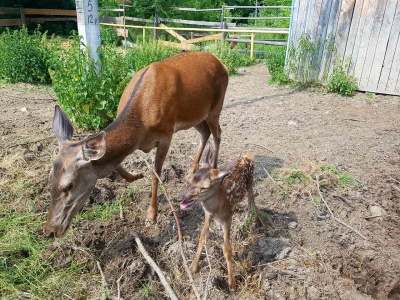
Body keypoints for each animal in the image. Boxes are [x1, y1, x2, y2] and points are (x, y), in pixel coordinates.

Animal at [43, 52, 228, 238]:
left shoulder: (166, 134)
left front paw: (151, 215)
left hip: (216, 105)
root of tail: (221, 63)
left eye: (68, 185)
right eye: (49, 178)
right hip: (197, 114)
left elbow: (155, 174)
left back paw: (213, 169)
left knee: (217, 133)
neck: (141, 126)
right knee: (205, 132)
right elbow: (116, 166)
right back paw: (192, 171)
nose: (49, 230)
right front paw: (136, 176)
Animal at [177, 144, 262, 292]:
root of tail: (248, 156)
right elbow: (202, 236)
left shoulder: (228, 217)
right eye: (190, 180)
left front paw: (232, 283)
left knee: (252, 197)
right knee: (248, 199)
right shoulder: (208, 214)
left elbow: (227, 248)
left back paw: (256, 221)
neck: (217, 207)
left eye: (204, 187)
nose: (180, 198)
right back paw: (247, 218)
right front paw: (193, 267)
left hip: (251, 180)